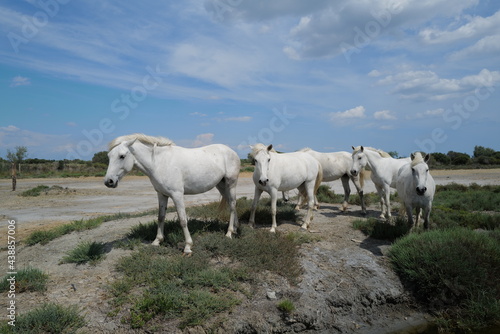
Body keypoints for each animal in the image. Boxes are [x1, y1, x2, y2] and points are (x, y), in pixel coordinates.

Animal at [103, 133, 240, 253]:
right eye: (109, 156)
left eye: (122, 156)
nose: (108, 181)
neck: (159, 163)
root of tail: (232, 151)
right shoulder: (161, 194)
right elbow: (161, 217)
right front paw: (157, 241)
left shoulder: (177, 195)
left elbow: (183, 220)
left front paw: (188, 246)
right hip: (221, 185)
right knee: (230, 203)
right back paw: (235, 229)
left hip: (231, 184)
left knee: (233, 205)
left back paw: (229, 233)